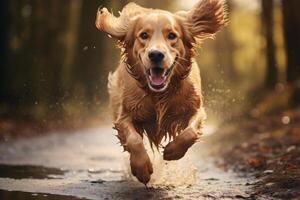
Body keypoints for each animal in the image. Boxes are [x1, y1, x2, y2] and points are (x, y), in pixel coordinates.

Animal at [95, 0, 225, 184]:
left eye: (171, 35)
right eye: (143, 35)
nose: (156, 54)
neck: (159, 94)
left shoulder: (196, 109)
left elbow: (190, 132)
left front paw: (172, 151)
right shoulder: (125, 115)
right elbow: (134, 139)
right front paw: (141, 168)